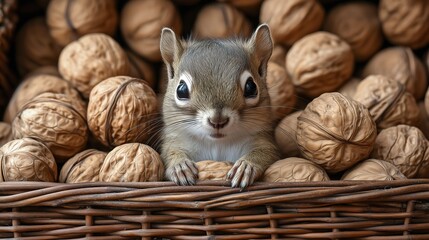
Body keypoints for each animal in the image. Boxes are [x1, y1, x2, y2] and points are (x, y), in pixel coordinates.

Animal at [159, 24, 280, 189]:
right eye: (181, 90)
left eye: (251, 87)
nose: (218, 121)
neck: (217, 144)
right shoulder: (174, 141)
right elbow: (169, 153)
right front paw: (180, 166)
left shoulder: (264, 142)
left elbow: (266, 153)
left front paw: (246, 166)